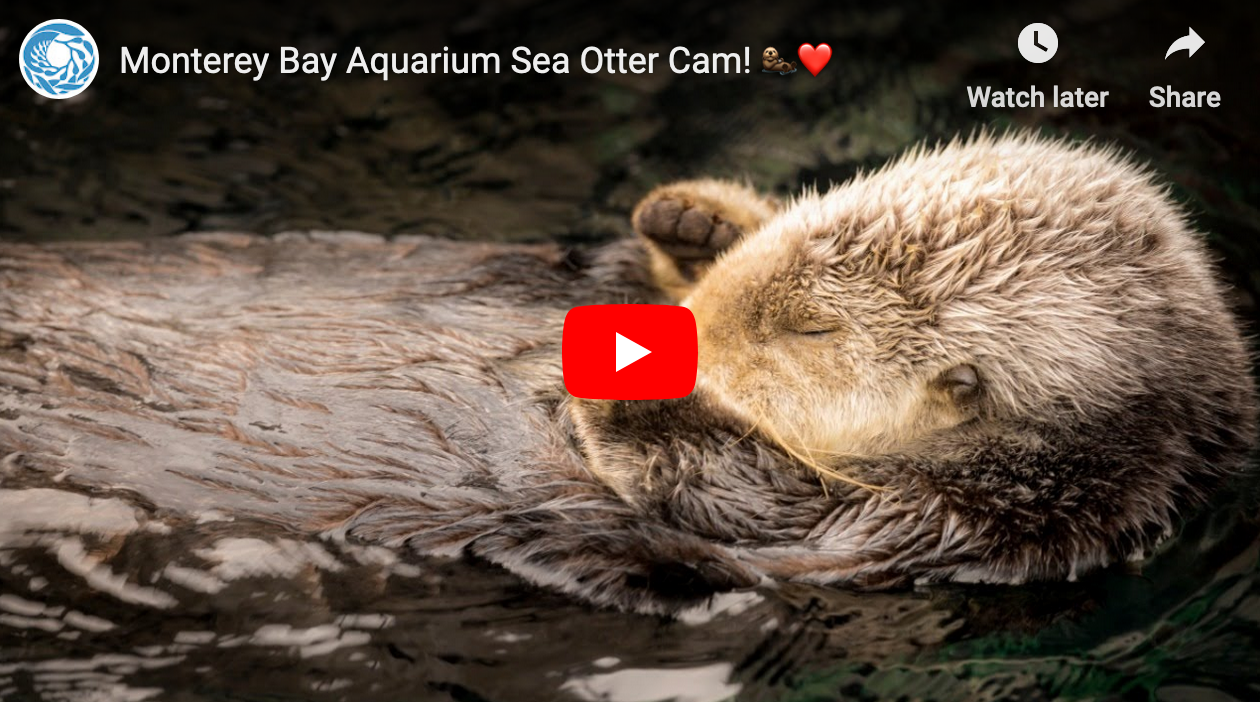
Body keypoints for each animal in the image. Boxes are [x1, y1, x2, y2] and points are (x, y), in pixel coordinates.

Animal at [0, 134, 1254, 613]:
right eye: (804, 224)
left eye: (811, 329)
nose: (682, 324)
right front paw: (691, 220)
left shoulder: (937, 529)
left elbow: (730, 503)